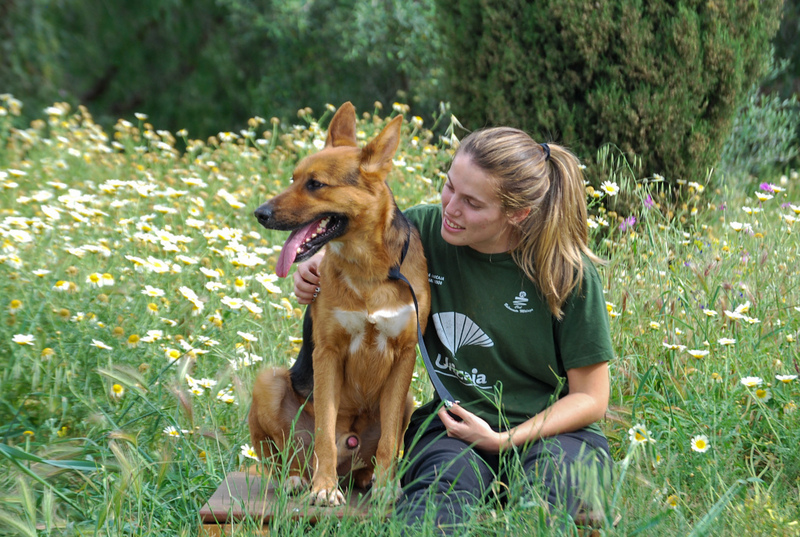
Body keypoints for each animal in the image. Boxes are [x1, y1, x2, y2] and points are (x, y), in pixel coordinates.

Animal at [250, 101, 432, 506]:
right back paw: (300, 480)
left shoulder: (405, 355)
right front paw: (324, 487)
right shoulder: (328, 354)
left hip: (408, 399)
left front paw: (386, 487)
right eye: (293, 178)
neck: (369, 270)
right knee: (286, 457)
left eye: (315, 184)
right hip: (267, 381)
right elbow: (323, 436)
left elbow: (390, 441)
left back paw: (367, 478)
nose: (260, 213)